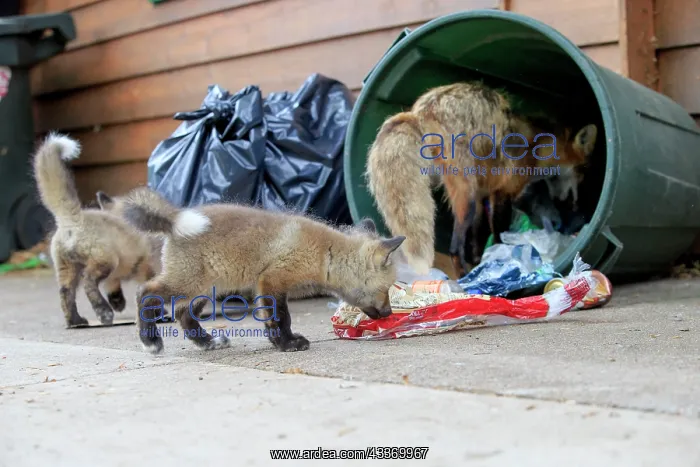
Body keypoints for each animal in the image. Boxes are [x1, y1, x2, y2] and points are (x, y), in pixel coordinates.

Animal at [32, 133, 158, 327]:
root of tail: (73, 217)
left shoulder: (122, 272)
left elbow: (114, 286)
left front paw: (118, 301)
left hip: (67, 269)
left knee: (65, 293)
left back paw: (75, 321)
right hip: (105, 260)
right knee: (88, 282)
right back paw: (103, 312)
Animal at [118, 187, 406, 354]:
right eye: (385, 290)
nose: (389, 314)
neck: (325, 254)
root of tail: (174, 220)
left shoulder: (265, 286)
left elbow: (271, 322)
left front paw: (279, 343)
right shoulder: (272, 281)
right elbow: (282, 319)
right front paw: (289, 344)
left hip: (205, 288)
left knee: (183, 315)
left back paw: (208, 343)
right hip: (188, 283)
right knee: (145, 294)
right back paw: (150, 341)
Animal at [365, 81, 598, 277]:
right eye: (584, 169)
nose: (574, 204)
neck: (536, 148)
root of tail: (420, 111)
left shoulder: (482, 196)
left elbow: (478, 241)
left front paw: (483, 262)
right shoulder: (502, 193)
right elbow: (499, 235)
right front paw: (504, 259)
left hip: (466, 195)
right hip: (465, 198)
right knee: (454, 249)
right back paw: (464, 279)